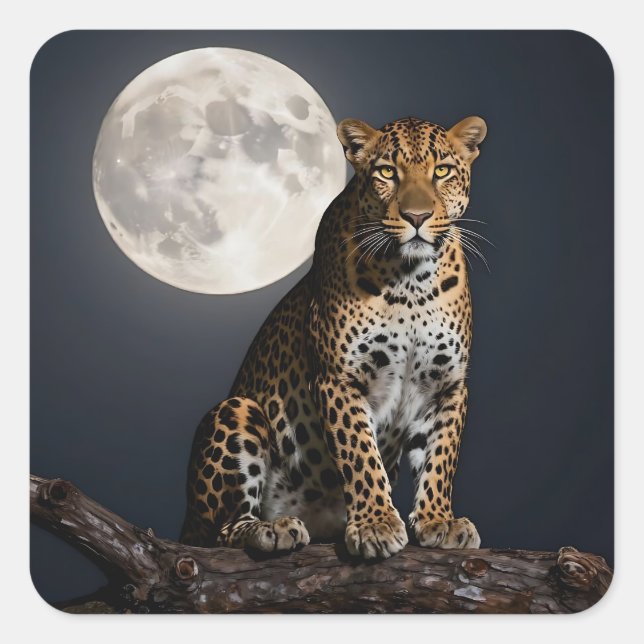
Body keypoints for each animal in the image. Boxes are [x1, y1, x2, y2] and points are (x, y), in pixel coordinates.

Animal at [180, 114, 487, 559]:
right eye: (387, 172)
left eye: (442, 171)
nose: (416, 216)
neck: (411, 281)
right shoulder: (339, 379)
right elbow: (360, 454)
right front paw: (376, 524)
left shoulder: (448, 385)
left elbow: (442, 456)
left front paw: (438, 520)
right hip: (237, 410)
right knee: (222, 530)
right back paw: (270, 530)